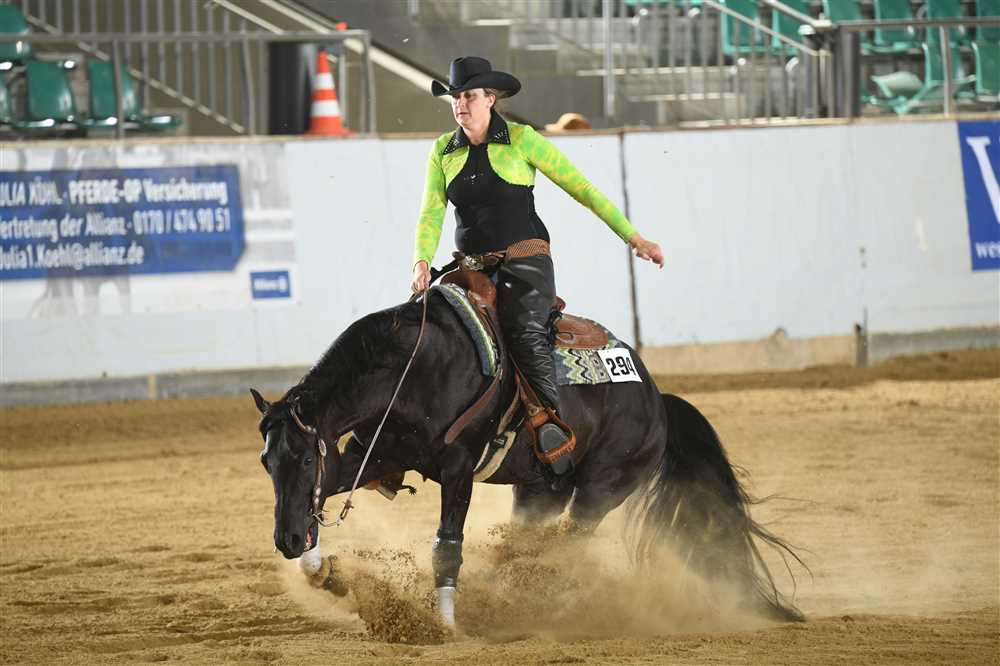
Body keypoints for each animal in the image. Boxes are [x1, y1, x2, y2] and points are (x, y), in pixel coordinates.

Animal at [252, 289, 805, 627]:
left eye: (305, 460)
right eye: (267, 463)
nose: (284, 540)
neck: (411, 367)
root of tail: (655, 397)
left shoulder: (458, 469)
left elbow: (446, 547)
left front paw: (447, 626)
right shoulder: (372, 456)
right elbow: (324, 502)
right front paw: (321, 569)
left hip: (600, 489)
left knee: (568, 546)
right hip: (540, 490)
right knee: (529, 544)